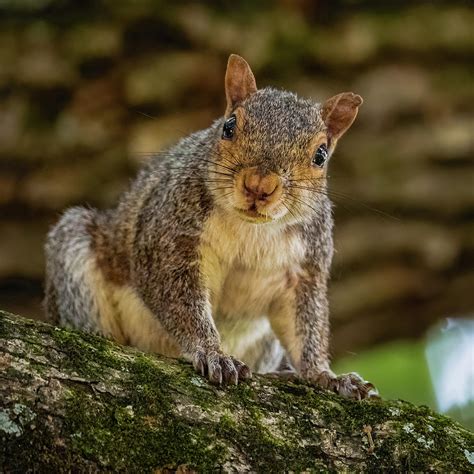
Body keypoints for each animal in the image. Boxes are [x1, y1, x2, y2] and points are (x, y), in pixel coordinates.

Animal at [45, 53, 378, 398]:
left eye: (321, 155)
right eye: (228, 127)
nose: (259, 185)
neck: (252, 229)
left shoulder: (305, 269)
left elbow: (305, 329)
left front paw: (327, 376)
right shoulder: (169, 237)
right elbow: (179, 299)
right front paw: (213, 353)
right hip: (76, 256)